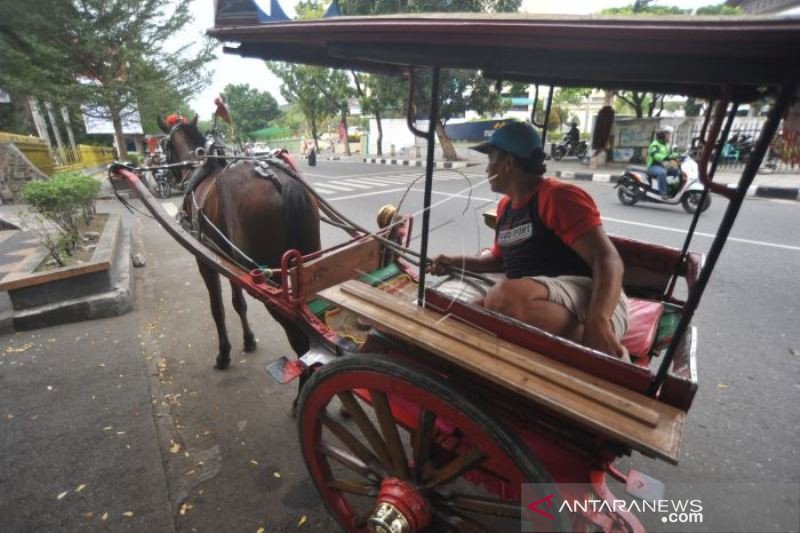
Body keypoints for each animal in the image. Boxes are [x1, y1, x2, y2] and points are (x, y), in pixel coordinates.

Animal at [158, 114, 320, 368]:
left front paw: (224, 353)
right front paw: (248, 340)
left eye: (164, 144)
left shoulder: (205, 260)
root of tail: (280, 182)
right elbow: (238, 302)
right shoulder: (228, 261)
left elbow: (217, 307)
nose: (171, 178)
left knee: (299, 336)